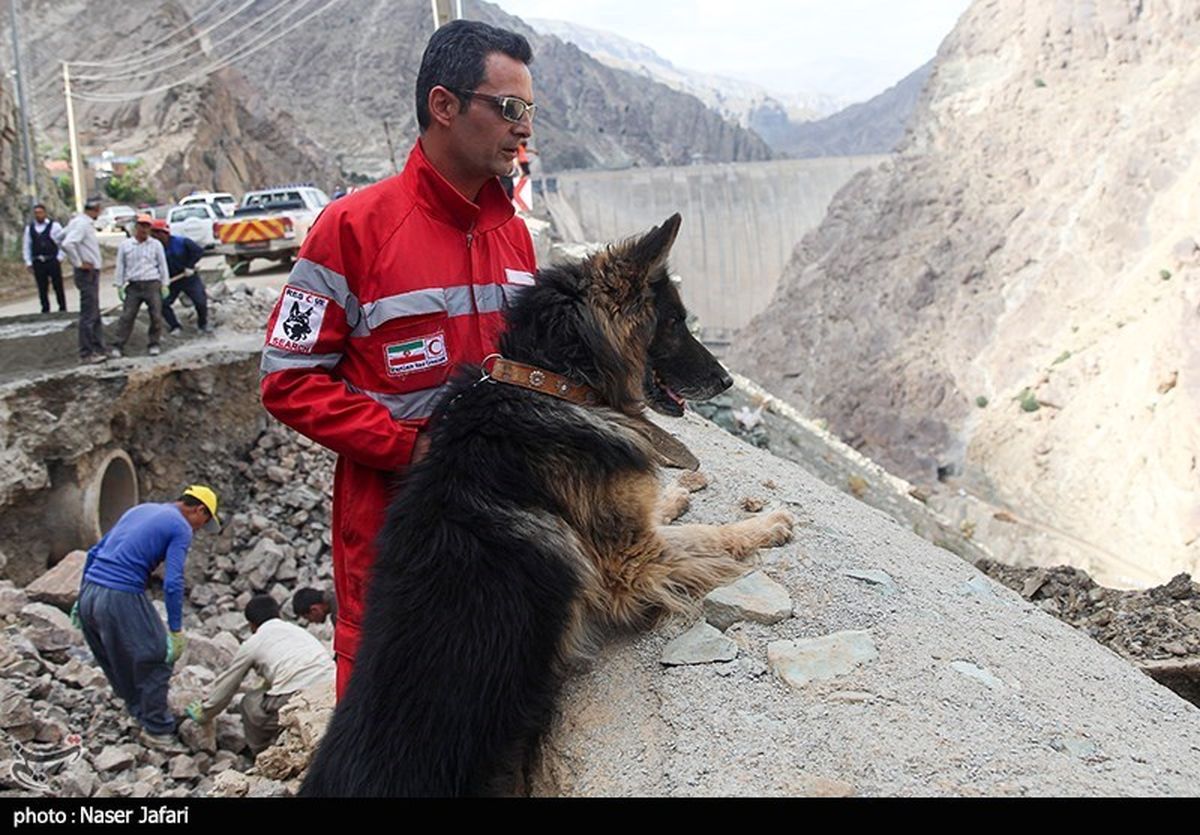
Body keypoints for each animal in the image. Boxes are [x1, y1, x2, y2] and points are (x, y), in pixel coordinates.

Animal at [300, 213, 792, 796]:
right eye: (674, 322)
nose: (726, 380)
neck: (552, 384)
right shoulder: (634, 563)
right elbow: (708, 535)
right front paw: (767, 524)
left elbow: (662, 512)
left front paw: (675, 492)